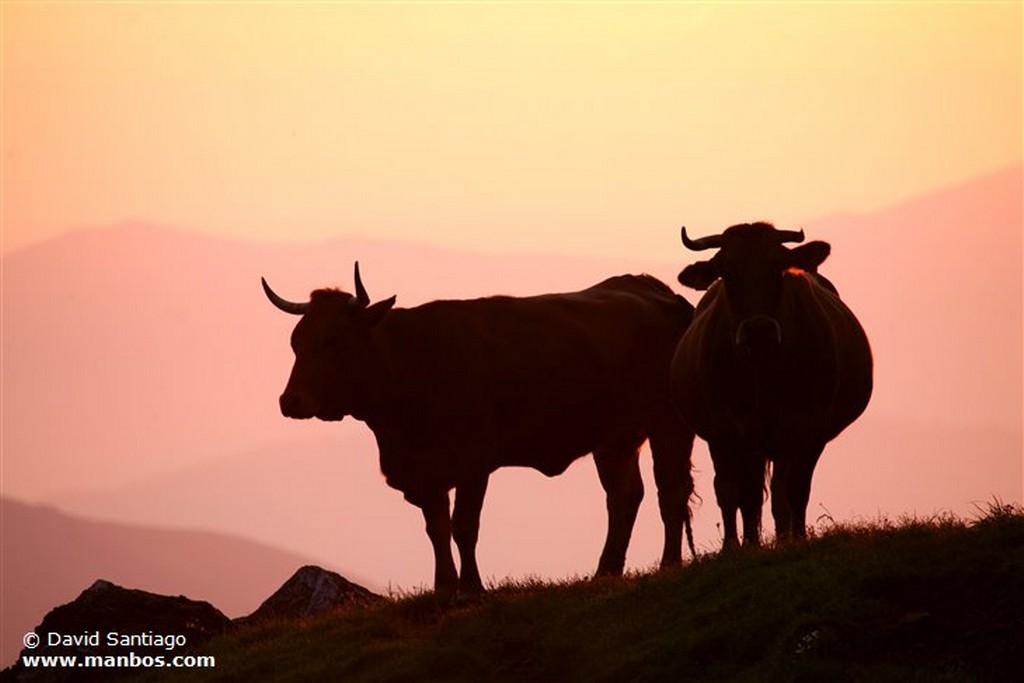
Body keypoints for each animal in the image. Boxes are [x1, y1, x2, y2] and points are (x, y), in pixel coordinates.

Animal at [262, 264, 696, 602]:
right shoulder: (426, 472)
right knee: (623, 496)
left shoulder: (474, 462)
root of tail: (651, 286)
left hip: (669, 422)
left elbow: (464, 526)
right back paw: (605, 571)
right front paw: (443, 587)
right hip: (615, 437)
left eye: (332, 339)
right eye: (295, 341)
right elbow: (436, 528)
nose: (290, 401)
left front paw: (470, 588)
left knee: (669, 491)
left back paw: (668, 564)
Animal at [671, 224, 872, 548]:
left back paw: (781, 538)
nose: (758, 329)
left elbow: (796, 491)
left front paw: (797, 540)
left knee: (779, 492)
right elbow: (742, 495)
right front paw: (744, 547)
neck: (763, 375)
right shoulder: (729, 430)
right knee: (735, 491)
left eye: (777, 267)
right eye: (727, 272)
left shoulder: (808, 428)